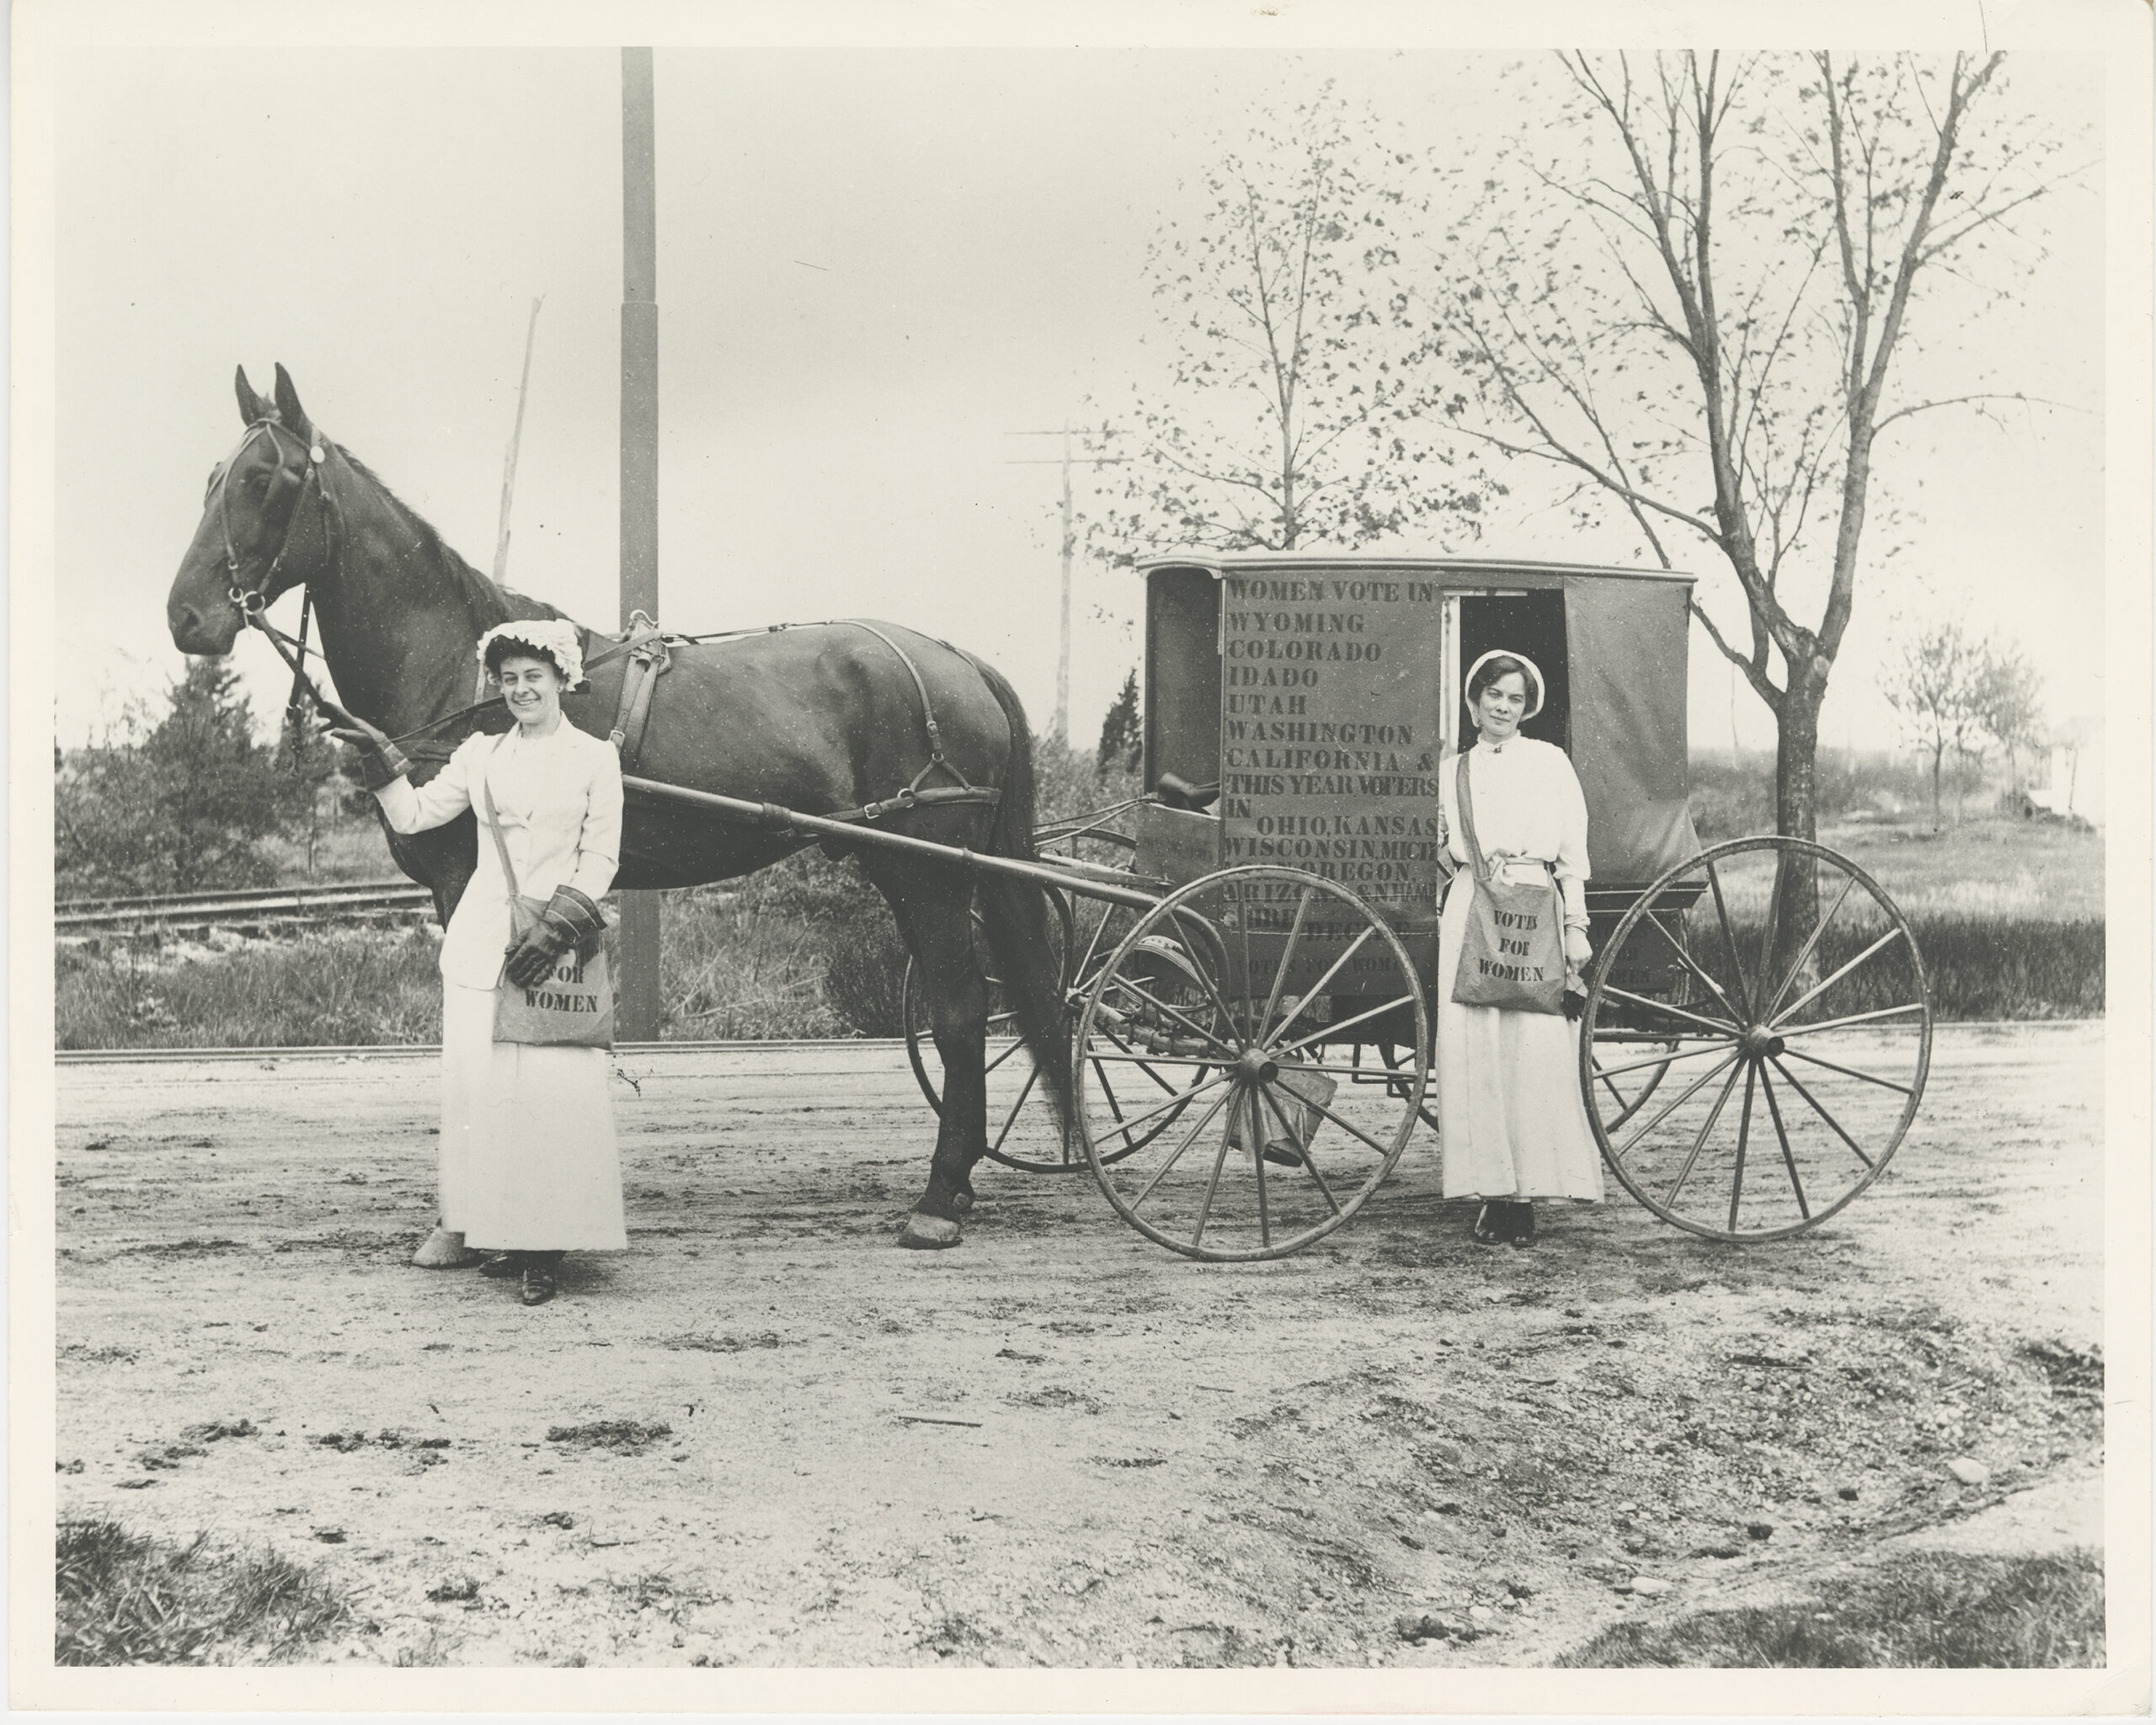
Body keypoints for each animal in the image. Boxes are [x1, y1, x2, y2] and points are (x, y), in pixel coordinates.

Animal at [166, 363, 1071, 1252]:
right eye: (211, 478)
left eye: (261, 478)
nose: (186, 616)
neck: (467, 670)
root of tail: (955, 661)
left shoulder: (464, 884)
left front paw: (459, 1225)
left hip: (932, 877)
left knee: (961, 1013)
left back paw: (941, 1197)